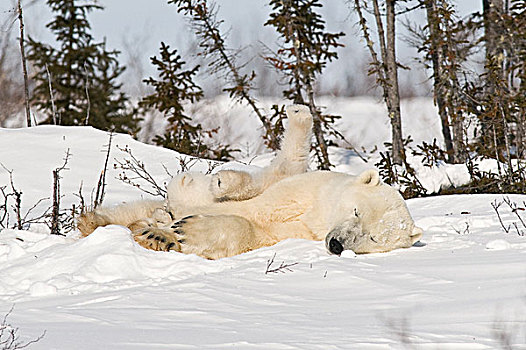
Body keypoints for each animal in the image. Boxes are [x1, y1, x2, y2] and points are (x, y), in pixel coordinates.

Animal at [78, 103, 424, 258]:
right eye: (356, 211)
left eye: (373, 238)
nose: (337, 243)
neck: (318, 215)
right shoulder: (306, 188)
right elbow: (271, 180)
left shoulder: (298, 233)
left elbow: (251, 232)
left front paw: (174, 233)